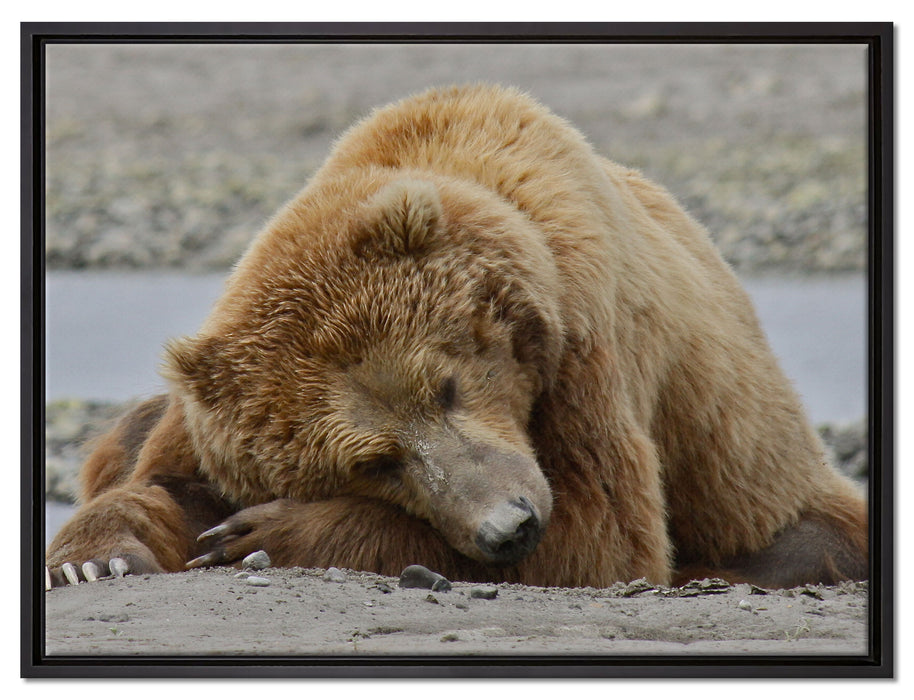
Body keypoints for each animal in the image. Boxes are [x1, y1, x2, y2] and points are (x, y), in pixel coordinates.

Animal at [45, 84, 868, 590]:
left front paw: (262, 532)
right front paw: (96, 559)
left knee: (799, 542)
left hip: (766, 483)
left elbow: (602, 533)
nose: (510, 526)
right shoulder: (210, 402)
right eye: (374, 460)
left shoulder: (585, 344)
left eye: (445, 385)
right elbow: (160, 480)